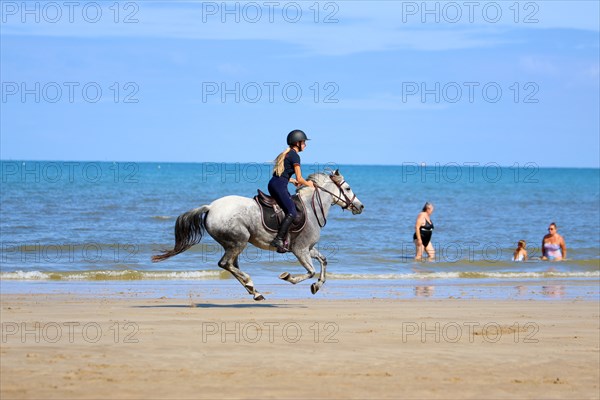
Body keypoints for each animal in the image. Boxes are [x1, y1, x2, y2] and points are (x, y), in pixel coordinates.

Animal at [152, 170, 364, 302]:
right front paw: (288, 277)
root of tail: (211, 207)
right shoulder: (300, 250)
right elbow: (310, 271)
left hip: (233, 243)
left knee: (231, 265)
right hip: (239, 241)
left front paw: (317, 286)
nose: (360, 206)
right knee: (225, 264)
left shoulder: (309, 249)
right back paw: (251, 285)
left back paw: (254, 291)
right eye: (347, 188)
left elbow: (323, 261)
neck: (311, 209)